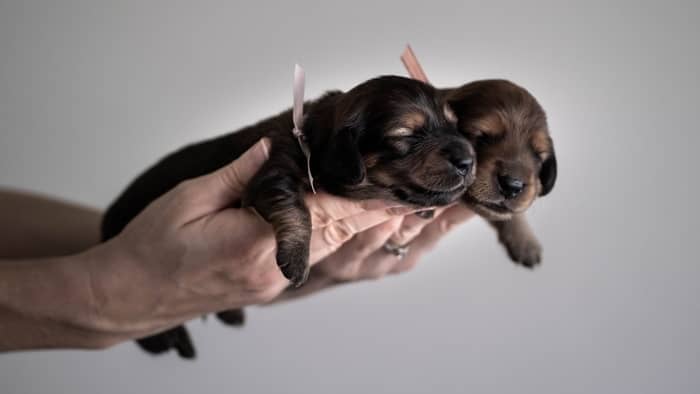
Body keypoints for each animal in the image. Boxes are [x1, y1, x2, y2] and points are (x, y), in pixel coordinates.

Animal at [101, 74, 476, 360]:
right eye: (406, 135)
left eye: (455, 125)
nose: (468, 160)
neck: (314, 139)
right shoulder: (272, 171)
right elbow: (295, 208)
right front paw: (296, 259)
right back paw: (161, 340)